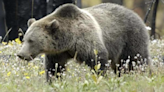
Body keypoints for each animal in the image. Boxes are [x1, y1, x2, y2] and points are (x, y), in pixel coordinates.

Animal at [17, 3, 150, 82]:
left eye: (31, 40)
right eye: (24, 39)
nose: (21, 54)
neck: (69, 40)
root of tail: (135, 14)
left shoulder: (86, 40)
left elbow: (97, 60)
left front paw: (102, 78)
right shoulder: (58, 52)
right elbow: (55, 67)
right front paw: (53, 81)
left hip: (130, 37)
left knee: (136, 60)